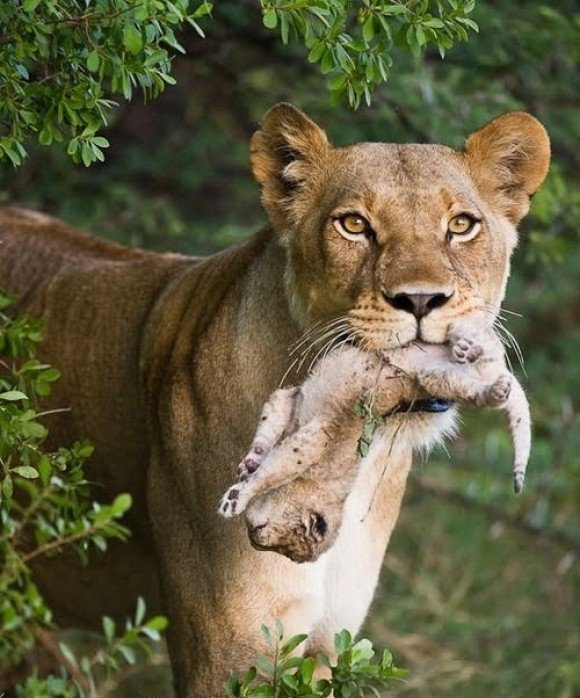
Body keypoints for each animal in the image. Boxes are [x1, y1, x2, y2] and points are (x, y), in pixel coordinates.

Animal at [218, 324, 530, 563]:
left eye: (280, 547)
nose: (254, 535)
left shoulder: (315, 437)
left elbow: (273, 469)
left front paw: (235, 498)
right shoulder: (291, 400)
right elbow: (268, 430)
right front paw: (249, 465)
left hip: (436, 379)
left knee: (481, 385)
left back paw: (491, 384)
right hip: (450, 353)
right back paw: (466, 350)